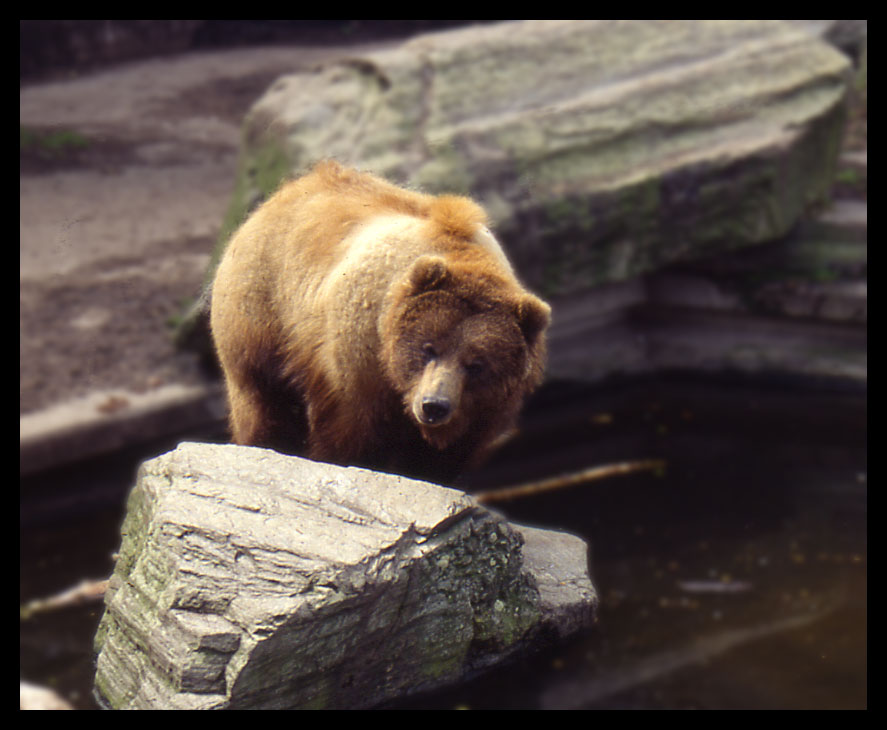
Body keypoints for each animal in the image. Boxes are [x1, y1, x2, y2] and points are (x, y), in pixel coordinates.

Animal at [211, 161, 552, 480]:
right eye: (429, 347)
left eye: (477, 364)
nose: (433, 405)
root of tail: (282, 193)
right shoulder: (360, 357)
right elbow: (350, 430)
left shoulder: (480, 409)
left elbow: (443, 455)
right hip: (261, 307)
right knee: (261, 394)